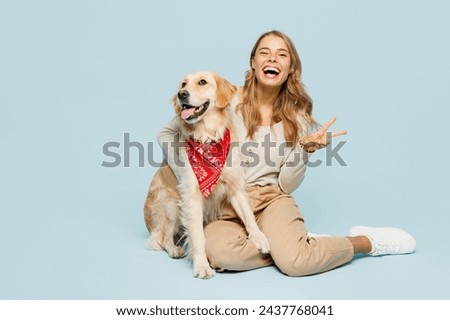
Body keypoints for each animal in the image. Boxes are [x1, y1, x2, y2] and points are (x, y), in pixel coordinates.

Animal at [145, 71, 270, 278]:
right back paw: (174, 249)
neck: (208, 137)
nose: (181, 94)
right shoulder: (191, 196)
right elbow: (197, 236)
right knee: (161, 237)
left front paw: (259, 237)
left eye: (202, 82)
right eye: (183, 84)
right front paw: (202, 265)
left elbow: (248, 216)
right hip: (170, 202)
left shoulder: (235, 186)